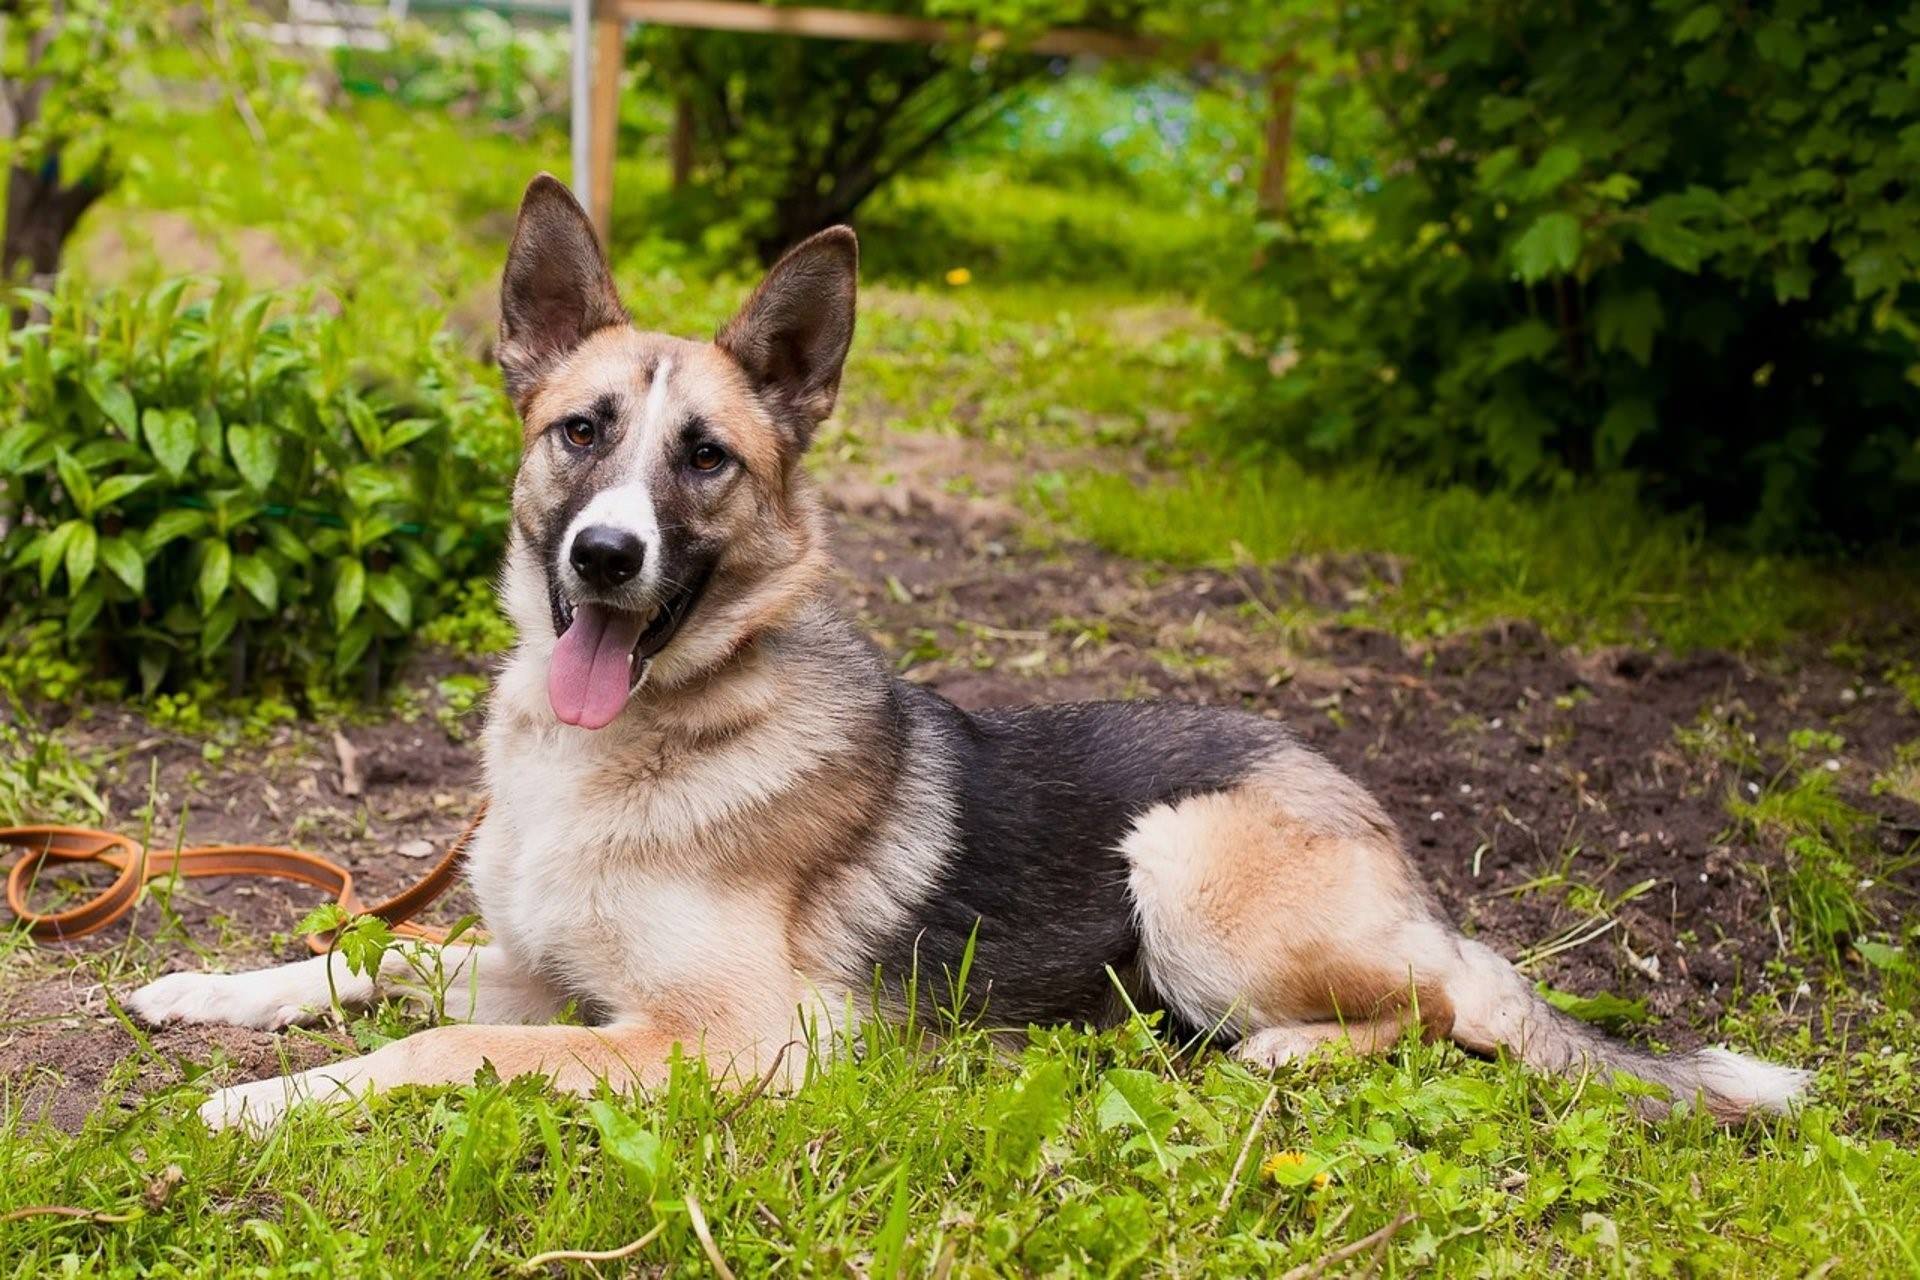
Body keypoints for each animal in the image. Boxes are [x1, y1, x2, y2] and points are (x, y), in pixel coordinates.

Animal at [127, 172, 1804, 1128]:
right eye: (580, 433)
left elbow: (442, 1052)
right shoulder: (546, 974)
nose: (606, 558)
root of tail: (1358, 801)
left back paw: (1287, 1058)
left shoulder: (728, 1040)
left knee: (1439, 1017)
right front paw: (208, 992)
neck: (631, 744)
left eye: (707, 460)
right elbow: (369, 953)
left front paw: (274, 1101)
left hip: (1182, 866)